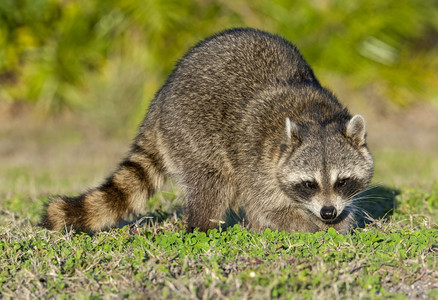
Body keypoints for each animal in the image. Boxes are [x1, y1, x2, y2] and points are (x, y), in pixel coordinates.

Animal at [41, 27, 372, 234]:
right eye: (308, 184)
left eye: (342, 181)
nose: (328, 212)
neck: (315, 116)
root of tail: (159, 101)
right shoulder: (256, 153)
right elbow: (265, 204)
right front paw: (307, 226)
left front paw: (339, 223)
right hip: (191, 131)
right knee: (214, 184)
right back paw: (203, 228)